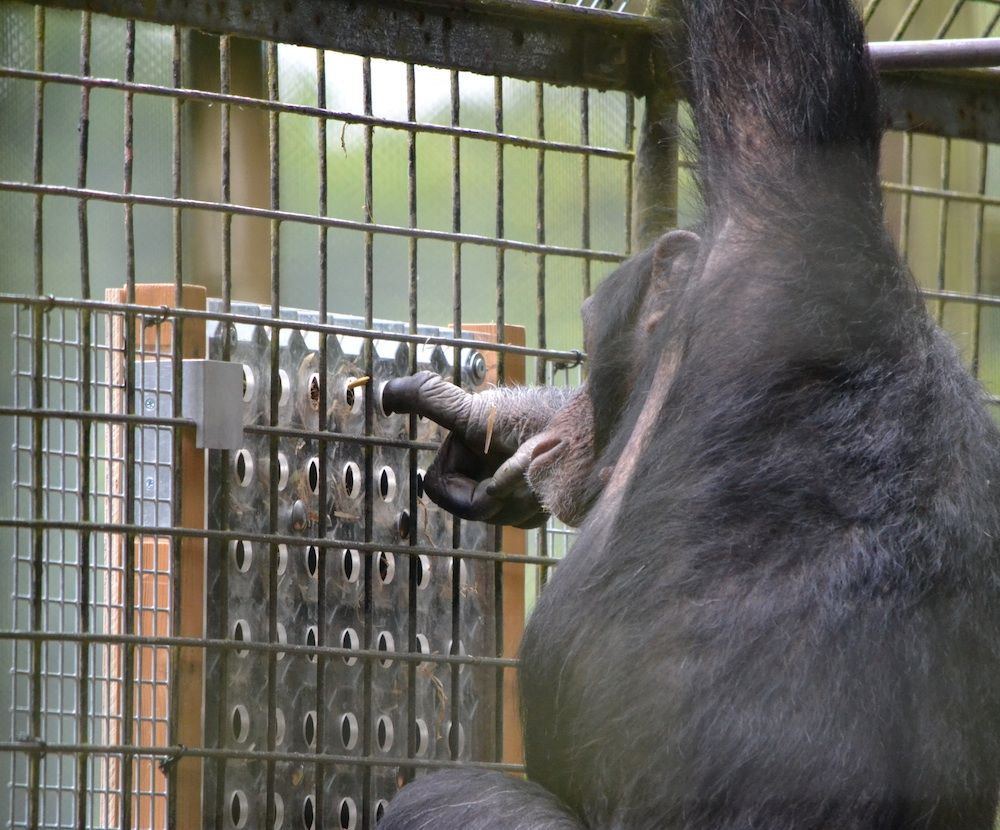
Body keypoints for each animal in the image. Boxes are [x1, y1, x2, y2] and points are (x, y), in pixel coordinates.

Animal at [374, 0, 1000, 828]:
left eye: (588, 329)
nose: (578, 404)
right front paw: (499, 423)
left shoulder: (780, 238)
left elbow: (774, 70)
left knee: (449, 794)